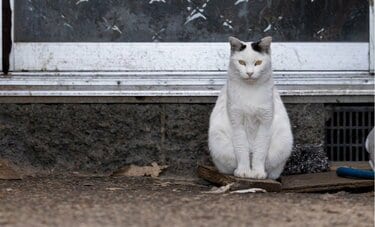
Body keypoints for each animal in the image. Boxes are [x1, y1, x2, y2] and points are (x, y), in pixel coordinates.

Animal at [209, 36, 294, 180]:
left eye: (258, 62)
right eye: (241, 62)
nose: (249, 73)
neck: (250, 91)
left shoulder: (265, 123)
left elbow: (260, 151)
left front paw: (258, 172)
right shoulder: (237, 122)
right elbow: (241, 148)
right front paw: (243, 171)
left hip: (283, 140)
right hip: (218, 140)